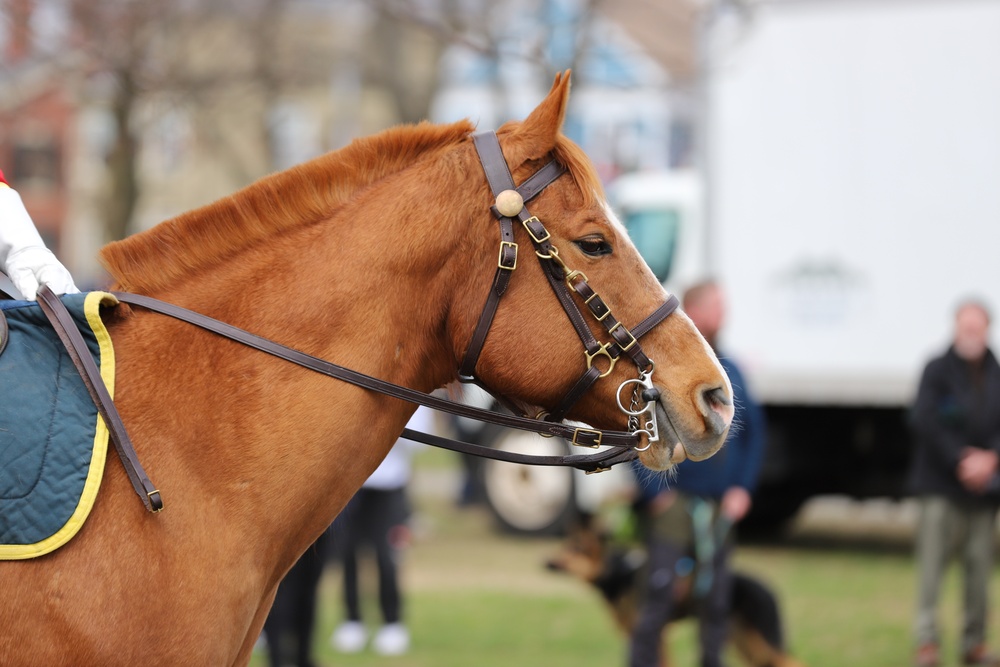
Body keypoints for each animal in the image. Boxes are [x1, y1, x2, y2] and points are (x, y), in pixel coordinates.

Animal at [548, 516, 804, 667]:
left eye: (570, 549)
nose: (545, 562)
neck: (617, 572)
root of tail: (769, 588)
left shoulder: (655, 636)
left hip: (761, 640)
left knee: (793, 662)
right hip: (744, 641)